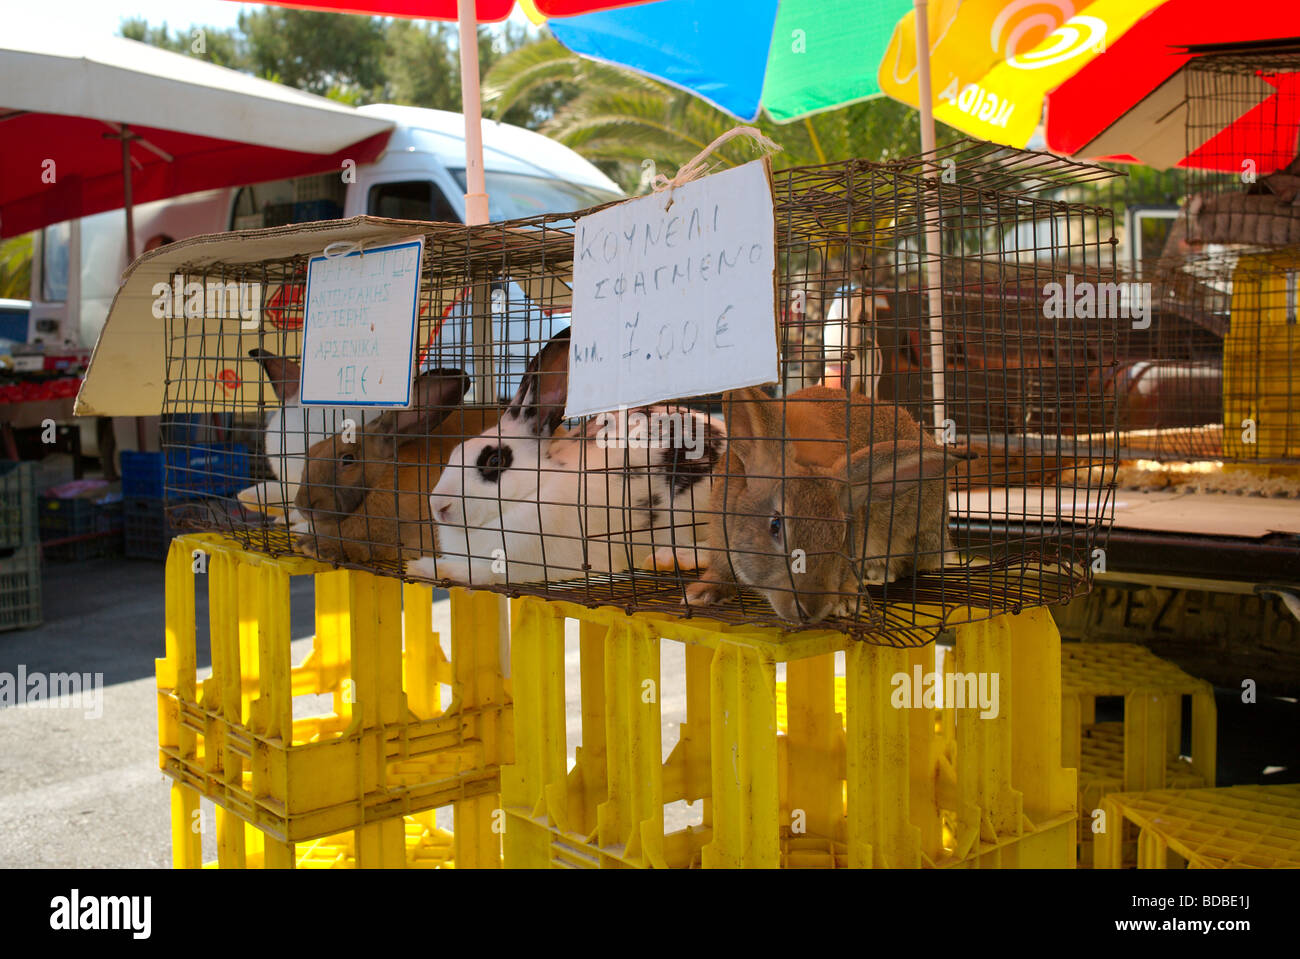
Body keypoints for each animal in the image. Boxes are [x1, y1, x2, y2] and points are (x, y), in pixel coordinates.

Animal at [406, 328, 726, 587]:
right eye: (456, 452)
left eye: (494, 461)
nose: (439, 506)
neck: (536, 489)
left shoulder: (521, 567)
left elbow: (476, 574)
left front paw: (425, 567)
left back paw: (670, 558)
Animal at [683, 385, 973, 624]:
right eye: (775, 525)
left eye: (841, 536)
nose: (810, 611)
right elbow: (721, 569)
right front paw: (703, 594)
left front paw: (846, 602)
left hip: (916, 533)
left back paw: (878, 572)